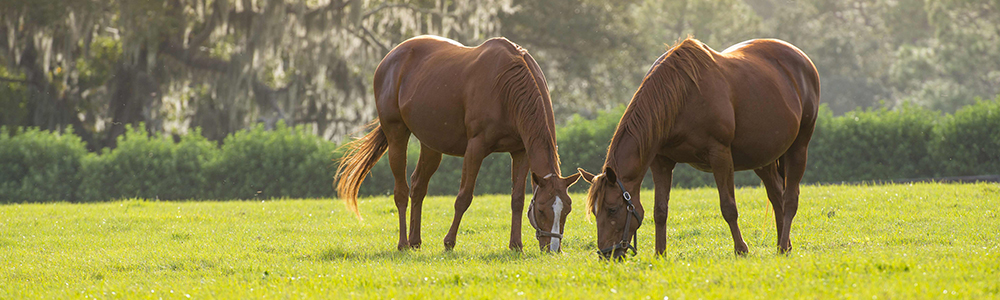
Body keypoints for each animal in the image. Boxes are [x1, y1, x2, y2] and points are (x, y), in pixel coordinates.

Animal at [338, 36, 584, 254]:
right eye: (541, 210)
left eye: (567, 209)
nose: (553, 249)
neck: (506, 84)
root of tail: (388, 60)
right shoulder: (475, 148)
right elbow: (464, 197)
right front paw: (449, 242)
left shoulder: (521, 152)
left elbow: (517, 200)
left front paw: (516, 245)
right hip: (396, 134)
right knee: (401, 192)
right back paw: (403, 244)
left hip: (431, 145)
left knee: (418, 187)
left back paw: (415, 241)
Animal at [580, 37, 820, 258]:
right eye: (595, 211)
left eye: (612, 209)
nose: (606, 254)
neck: (681, 96)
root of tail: (803, 60)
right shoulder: (661, 162)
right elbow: (660, 211)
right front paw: (660, 254)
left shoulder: (720, 155)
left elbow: (728, 207)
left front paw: (741, 249)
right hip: (763, 158)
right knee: (777, 197)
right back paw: (783, 246)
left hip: (799, 148)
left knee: (790, 199)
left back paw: (783, 245)